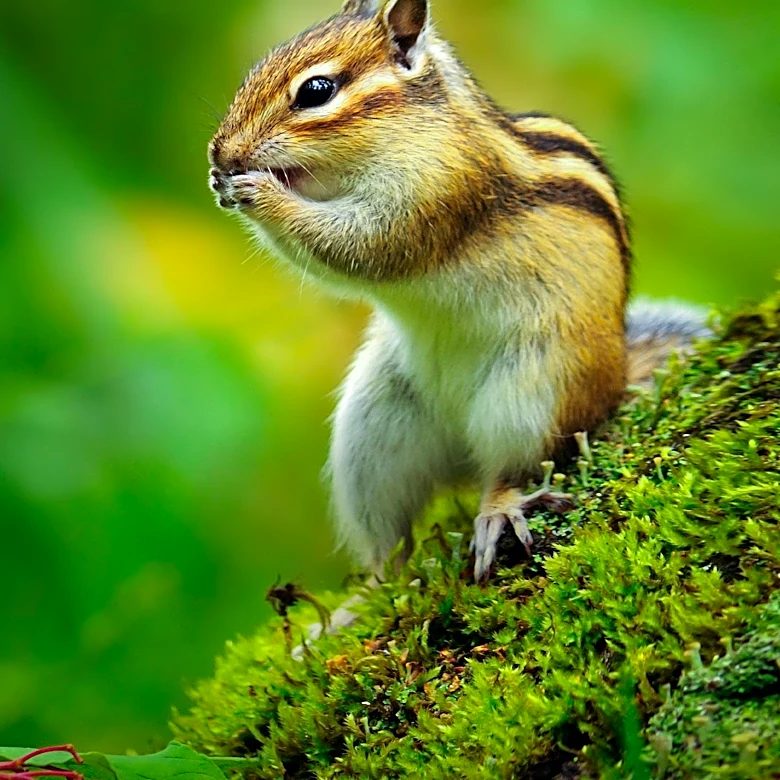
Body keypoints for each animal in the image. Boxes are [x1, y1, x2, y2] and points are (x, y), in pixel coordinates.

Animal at [208, 0, 709, 581]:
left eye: (316, 90)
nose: (221, 153)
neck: (416, 127)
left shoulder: (439, 190)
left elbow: (360, 246)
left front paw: (259, 190)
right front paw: (224, 182)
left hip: (534, 394)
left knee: (516, 467)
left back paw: (498, 510)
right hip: (371, 431)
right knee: (388, 538)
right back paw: (368, 592)